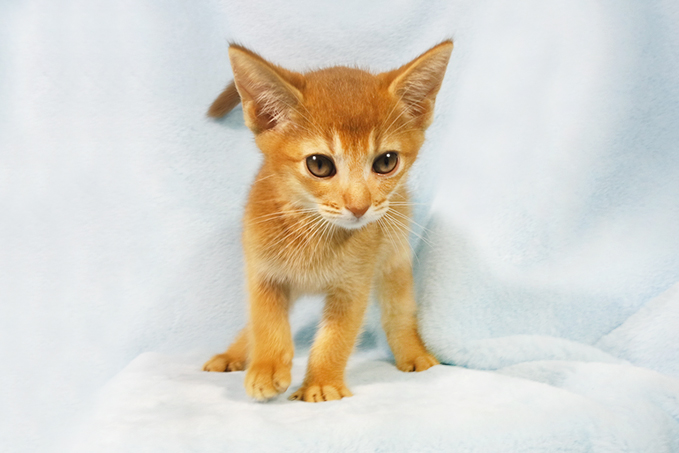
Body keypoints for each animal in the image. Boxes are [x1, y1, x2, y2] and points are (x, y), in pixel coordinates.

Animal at [203, 41, 453, 402]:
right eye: (319, 165)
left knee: (399, 312)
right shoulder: (262, 271)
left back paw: (414, 353)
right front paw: (266, 367)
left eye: (386, 162)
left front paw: (320, 384)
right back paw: (232, 355)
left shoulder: (354, 285)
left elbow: (335, 338)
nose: (360, 206)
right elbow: (264, 322)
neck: (313, 234)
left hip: (394, 258)